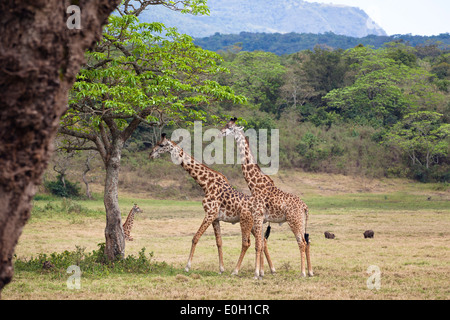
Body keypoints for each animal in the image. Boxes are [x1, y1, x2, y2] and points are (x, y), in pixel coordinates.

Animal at [149, 132, 274, 278]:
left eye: (161, 145)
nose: (151, 154)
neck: (206, 184)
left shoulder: (210, 213)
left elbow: (195, 237)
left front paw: (187, 267)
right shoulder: (215, 218)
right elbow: (219, 242)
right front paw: (221, 269)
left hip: (246, 222)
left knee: (249, 242)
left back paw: (241, 271)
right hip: (255, 224)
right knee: (262, 241)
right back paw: (267, 270)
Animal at [221, 118, 312, 278]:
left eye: (230, 127)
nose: (221, 132)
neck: (254, 184)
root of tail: (305, 207)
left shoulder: (257, 216)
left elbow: (258, 245)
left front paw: (256, 273)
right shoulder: (262, 219)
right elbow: (261, 243)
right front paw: (261, 272)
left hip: (294, 221)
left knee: (301, 243)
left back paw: (302, 273)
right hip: (301, 222)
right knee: (306, 242)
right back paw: (310, 271)